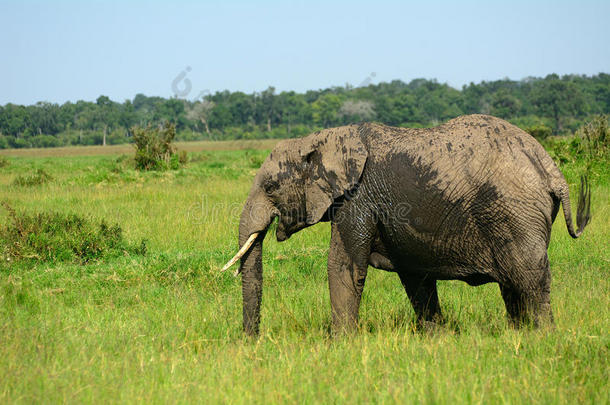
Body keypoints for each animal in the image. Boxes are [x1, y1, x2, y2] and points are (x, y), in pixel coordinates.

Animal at [221, 113, 588, 334]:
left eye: (271, 187)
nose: (252, 341)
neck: (323, 140)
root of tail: (550, 167)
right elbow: (416, 276)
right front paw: (436, 337)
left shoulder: (357, 198)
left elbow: (343, 267)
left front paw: (340, 345)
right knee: (512, 285)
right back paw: (517, 334)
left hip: (514, 213)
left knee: (529, 279)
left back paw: (542, 337)